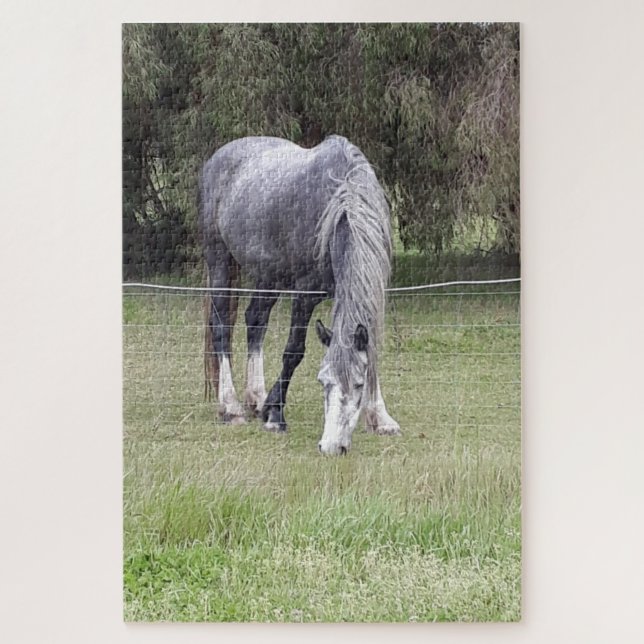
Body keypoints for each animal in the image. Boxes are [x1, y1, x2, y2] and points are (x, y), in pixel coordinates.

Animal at [199, 135, 400, 455]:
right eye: (323, 382)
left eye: (358, 385)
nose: (331, 447)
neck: (342, 202)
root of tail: (219, 157)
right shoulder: (305, 294)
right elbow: (293, 351)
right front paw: (276, 416)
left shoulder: (375, 293)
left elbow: (372, 351)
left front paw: (381, 417)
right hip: (219, 260)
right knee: (221, 328)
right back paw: (231, 407)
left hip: (268, 276)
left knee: (255, 321)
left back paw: (256, 397)